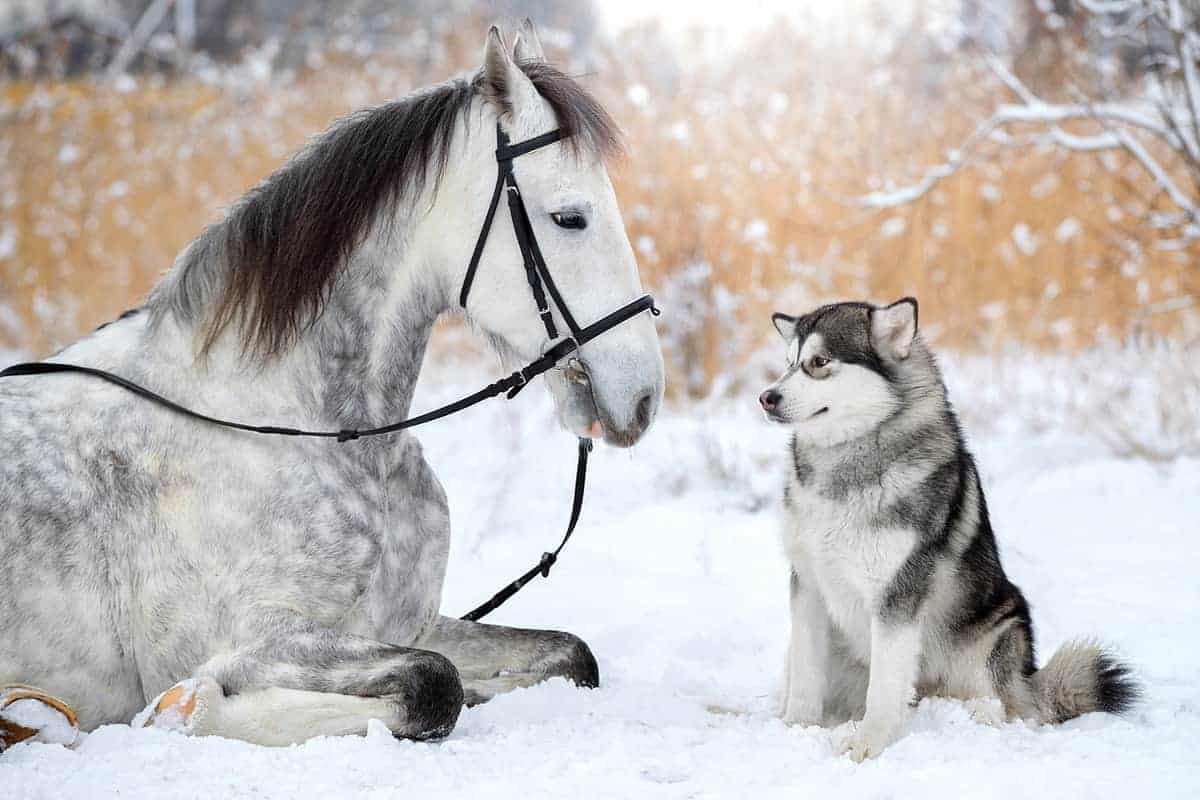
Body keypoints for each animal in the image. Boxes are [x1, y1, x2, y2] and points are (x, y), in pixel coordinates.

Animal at [0, 22, 664, 748]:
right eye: (570, 217)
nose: (643, 396)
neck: (302, 425)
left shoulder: (409, 623)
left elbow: (569, 656)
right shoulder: (262, 638)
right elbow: (432, 684)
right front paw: (193, 708)